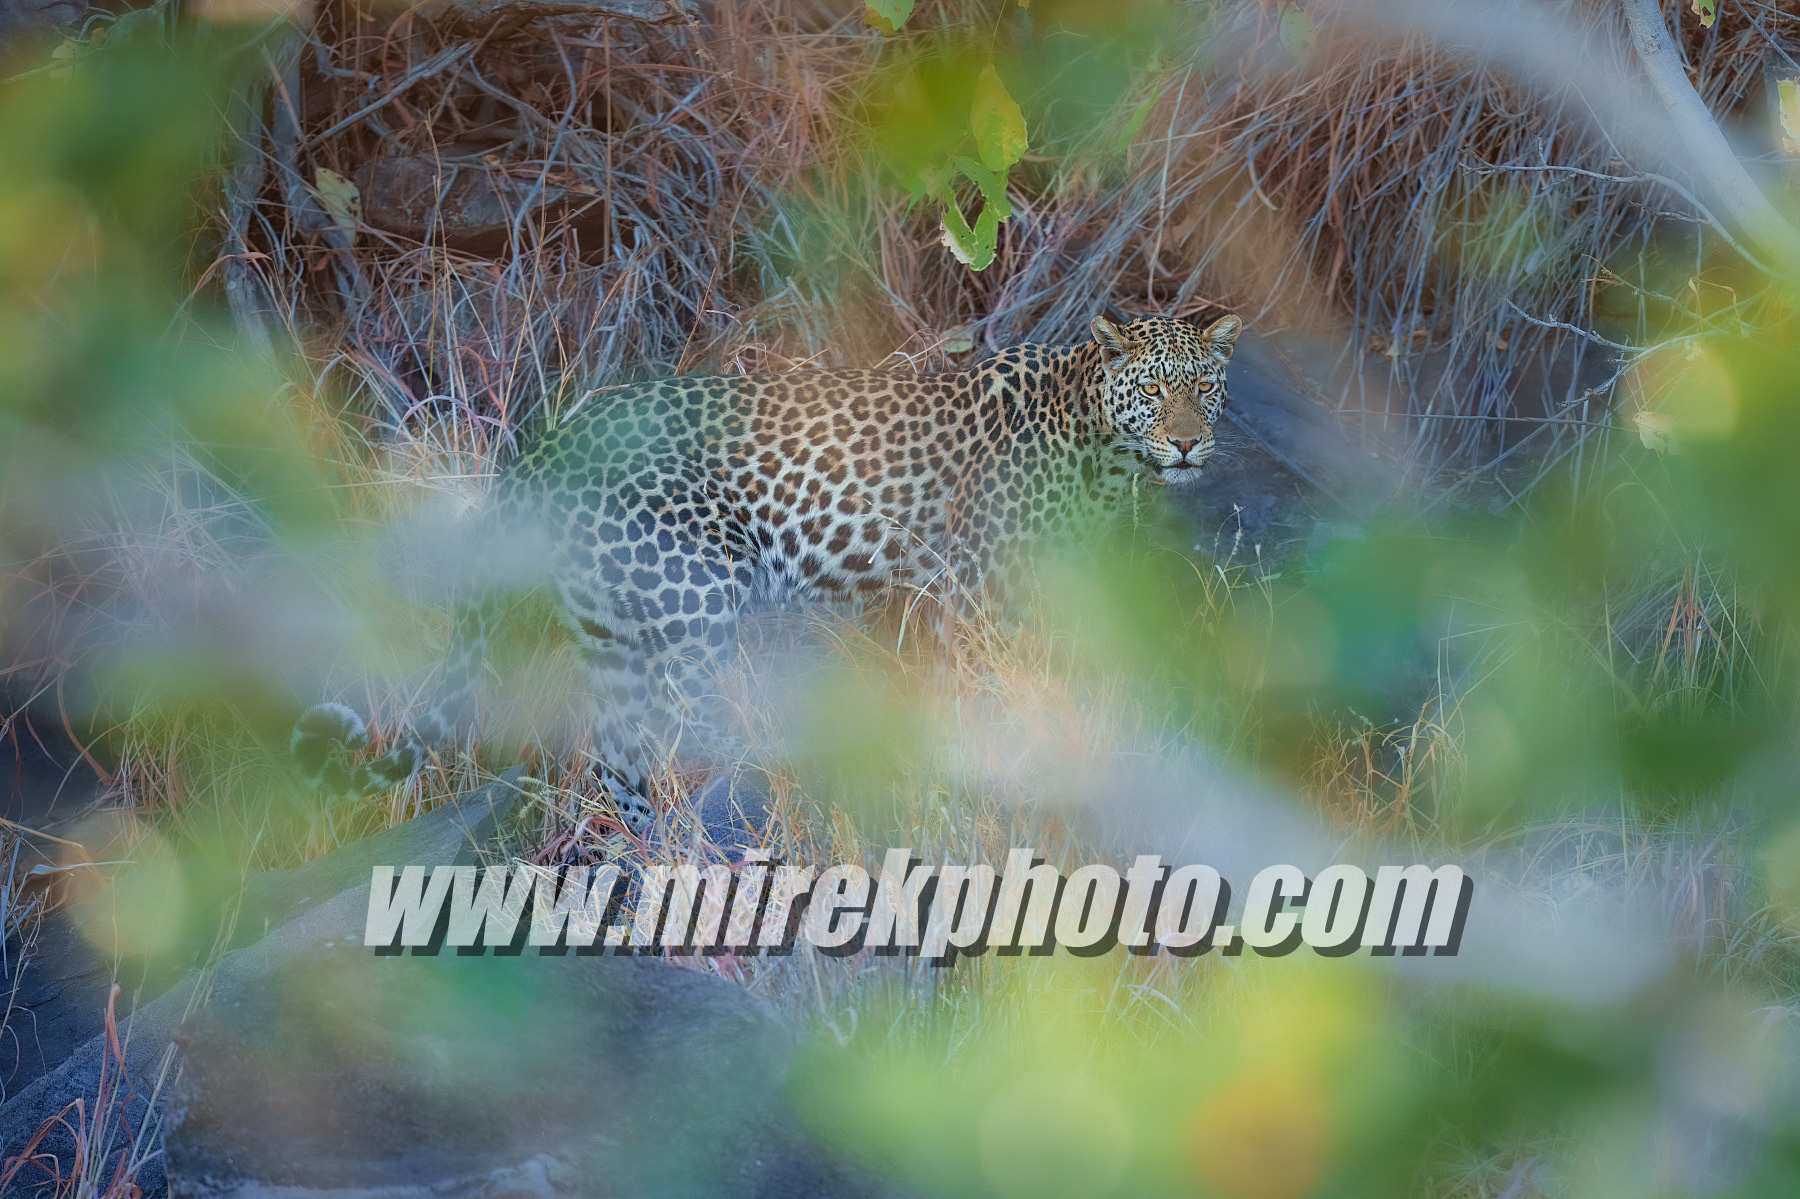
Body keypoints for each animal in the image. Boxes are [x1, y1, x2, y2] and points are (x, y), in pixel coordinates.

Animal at [291, 312, 1243, 834]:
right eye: (1155, 390)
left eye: (1206, 386)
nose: (1189, 442)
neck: (1104, 446)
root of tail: (551, 437)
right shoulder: (980, 593)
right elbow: (988, 698)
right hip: (693, 599)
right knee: (673, 733)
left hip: (611, 621)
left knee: (612, 752)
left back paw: (651, 853)